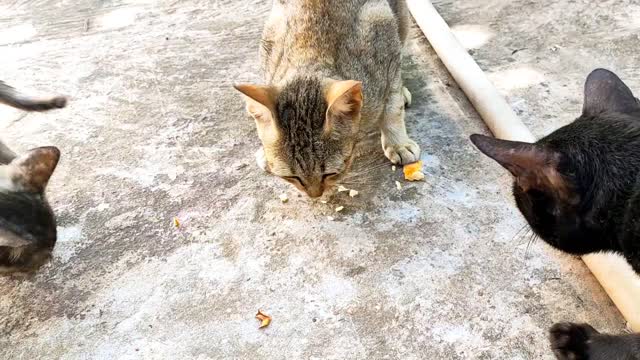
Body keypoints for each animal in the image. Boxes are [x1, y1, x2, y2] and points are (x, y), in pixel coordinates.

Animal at [235, 0, 420, 197]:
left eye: (330, 173)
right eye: (292, 177)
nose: (314, 195)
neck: (310, 51)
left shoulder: (384, 38)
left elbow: (393, 108)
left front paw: (398, 143)